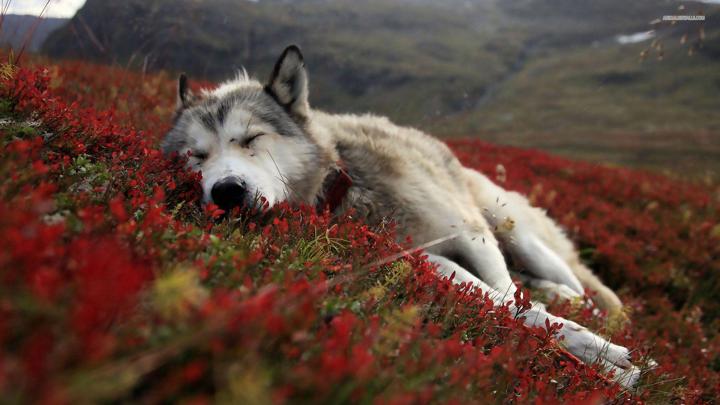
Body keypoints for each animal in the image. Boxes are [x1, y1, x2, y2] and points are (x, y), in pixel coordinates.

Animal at [162, 45, 642, 387]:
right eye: (196, 156)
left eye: (251, 139)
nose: (226, 191)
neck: (347, 184)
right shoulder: (425, 259)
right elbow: (507, 306)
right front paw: (603, 363)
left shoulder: (472, 236)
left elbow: (511, 298)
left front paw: (604, 356)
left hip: (512, 229)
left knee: (586, 290)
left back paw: (582, 304)